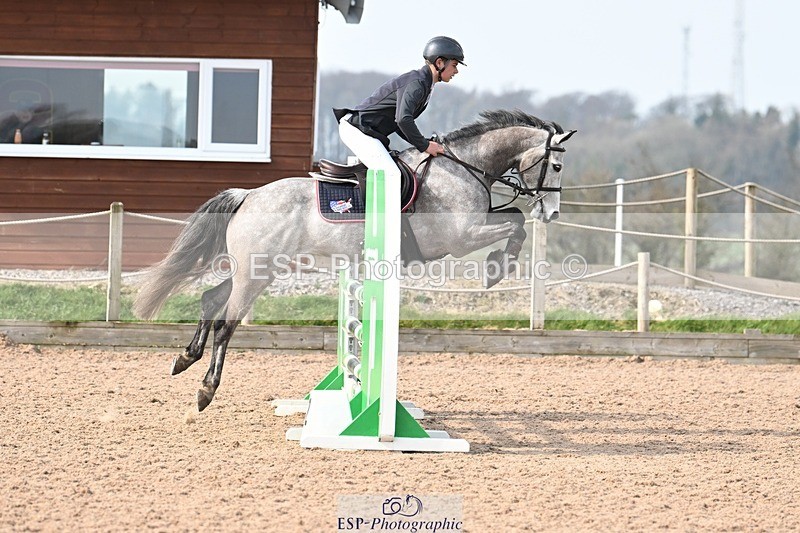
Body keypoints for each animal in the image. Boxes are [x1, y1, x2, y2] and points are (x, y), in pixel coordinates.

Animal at [133, 109, 576, 411]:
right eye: (555, 165)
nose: (553, 214)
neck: (464, 168)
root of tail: (249, 195)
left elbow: (514, 218)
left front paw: (499, 266)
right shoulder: (461, 238)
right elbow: (514, 224)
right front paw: (498, 269)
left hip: (258, 269)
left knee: (211, 299)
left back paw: (184, 359)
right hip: (257, 274)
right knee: (227, 323)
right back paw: (206, 389)